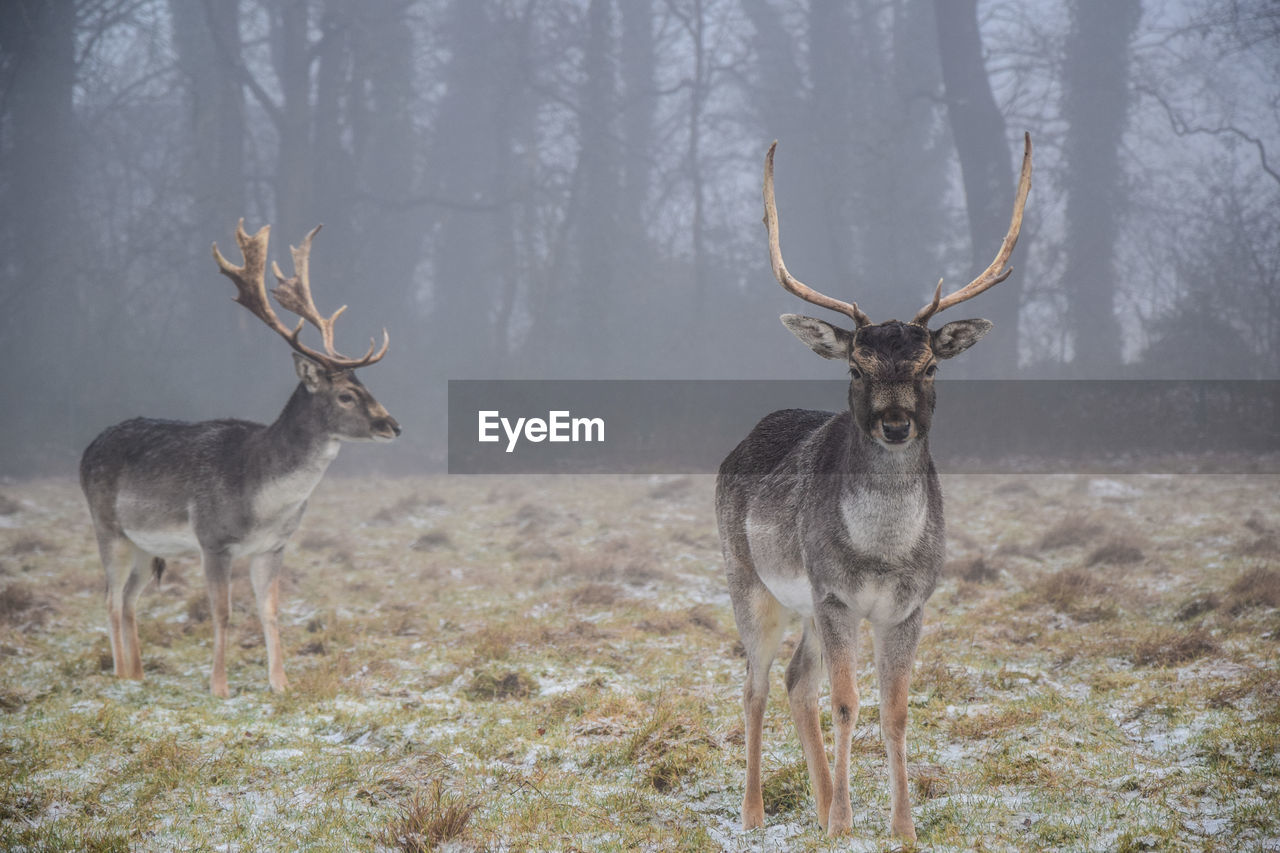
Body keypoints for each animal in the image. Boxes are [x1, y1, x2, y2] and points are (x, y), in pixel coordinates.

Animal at [80, 221, 399, 698]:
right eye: (345, 394)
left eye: (368, 387)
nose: (392, 424)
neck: (262, 499)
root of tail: (86, 450)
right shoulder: (213, 539)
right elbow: (222, 612)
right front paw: (219, 687)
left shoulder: (275, 546)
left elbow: (270, 611)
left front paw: (281, 684)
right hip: (108, 527)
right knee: (110, 598)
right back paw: (120, 675)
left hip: (145, 544)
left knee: (132, 598)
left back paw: (137, 674)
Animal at [717, 133, 1031, 840]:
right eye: (857, 366)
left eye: (930, 364)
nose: (895, 423)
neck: (882, 553)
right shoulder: (835, 593)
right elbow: (845, 702)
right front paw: (842, 825)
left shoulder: (911, 604)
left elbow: (894, 711)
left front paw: (901, 828)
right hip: (749, 580)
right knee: (756, 685)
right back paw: (755, 815)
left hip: (803, 603)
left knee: (795, 683)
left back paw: (817, 804)